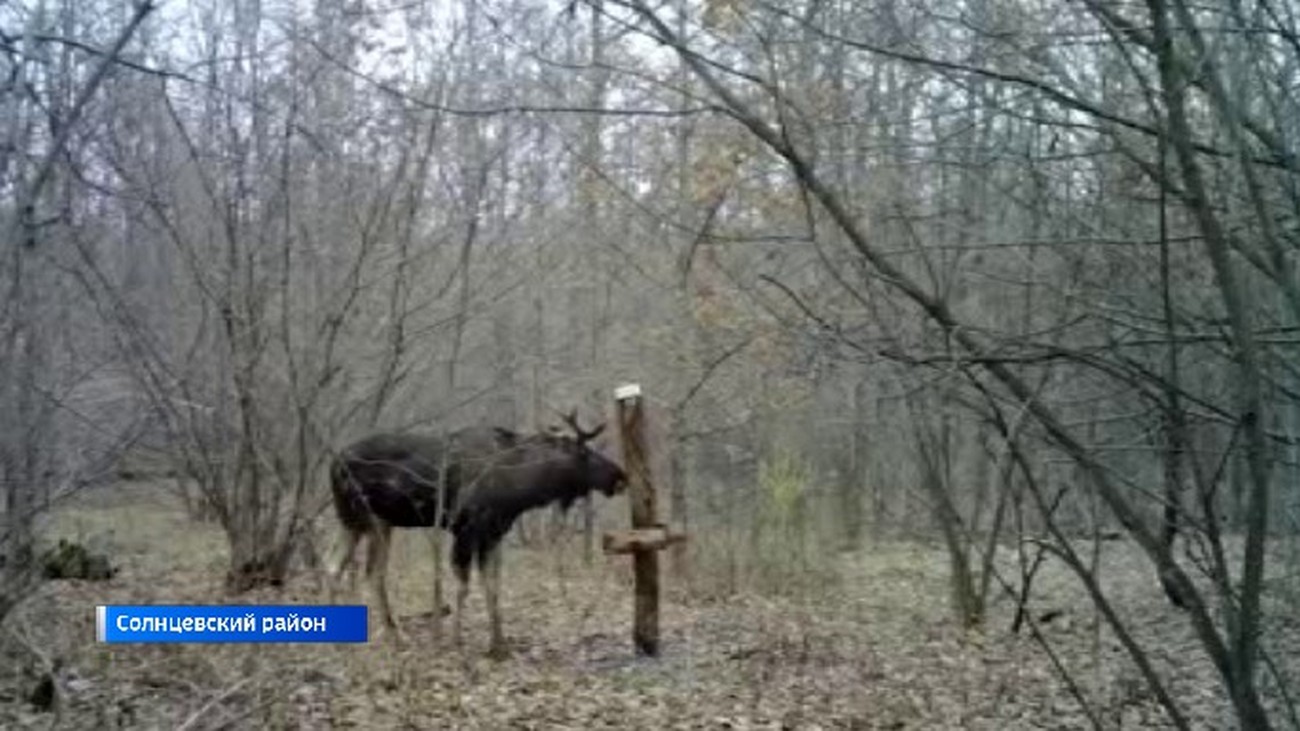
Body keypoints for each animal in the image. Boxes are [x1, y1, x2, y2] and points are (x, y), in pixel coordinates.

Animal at [327, 411, 626, 655]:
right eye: (585, 454)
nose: (620, 476)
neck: (521, 485)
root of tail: (334, 462)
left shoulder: (493, 533)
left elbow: (492, 586)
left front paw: (499, 644)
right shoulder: (466, 528)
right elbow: (463, 585)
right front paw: (456, 641)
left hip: (362, 522)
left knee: (341, 567)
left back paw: (363, 639)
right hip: (369, 519)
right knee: (368, 572)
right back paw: (389, 636)